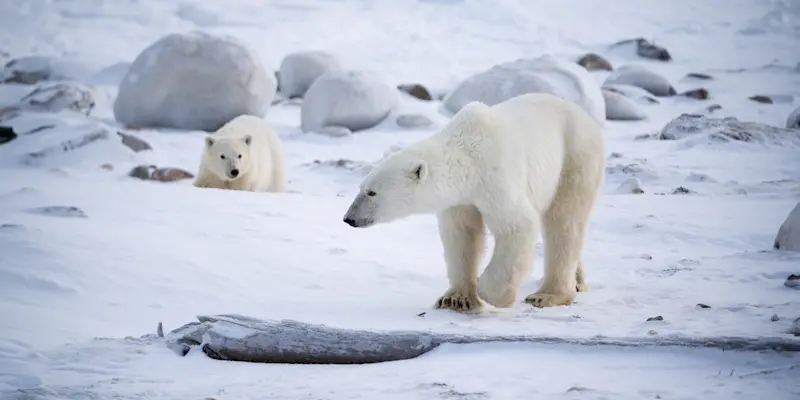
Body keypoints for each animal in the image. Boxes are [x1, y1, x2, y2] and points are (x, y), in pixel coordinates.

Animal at [342, 92, 606, 311]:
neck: (468, 155)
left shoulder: (496, 177)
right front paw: (455, 299)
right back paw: (578, 282)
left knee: (564, 220)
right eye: (362, 188)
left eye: (372, 192)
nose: (348, 218)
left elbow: (517, 224)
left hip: (574, 158)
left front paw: (491, 292)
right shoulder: (460, 198)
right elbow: (461, 234)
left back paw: (547, 295)